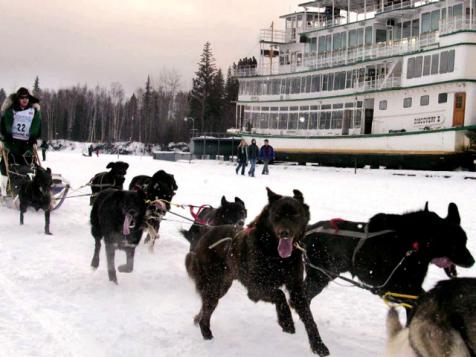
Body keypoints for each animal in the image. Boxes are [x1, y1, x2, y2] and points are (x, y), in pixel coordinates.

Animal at [187, 188, 330, 354]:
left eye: (295, 215)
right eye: (277, 215)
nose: (285, 233)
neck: (276, 255)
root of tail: (207, 233)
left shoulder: (296, 290)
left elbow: (309, 319)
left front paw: (318, 345)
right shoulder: (255, 288)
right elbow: (280, 295)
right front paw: (286, 321)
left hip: (222, 287)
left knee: (205, 306)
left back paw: (198, 320)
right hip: (213, 286)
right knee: (207, 309)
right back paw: (206, 334)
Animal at [304, 202, 474, 312]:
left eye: (465, 241)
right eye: (455, 244)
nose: (472, 261)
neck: (412, 244)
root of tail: (307, 230)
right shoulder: (400, 288)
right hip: (319, 277)